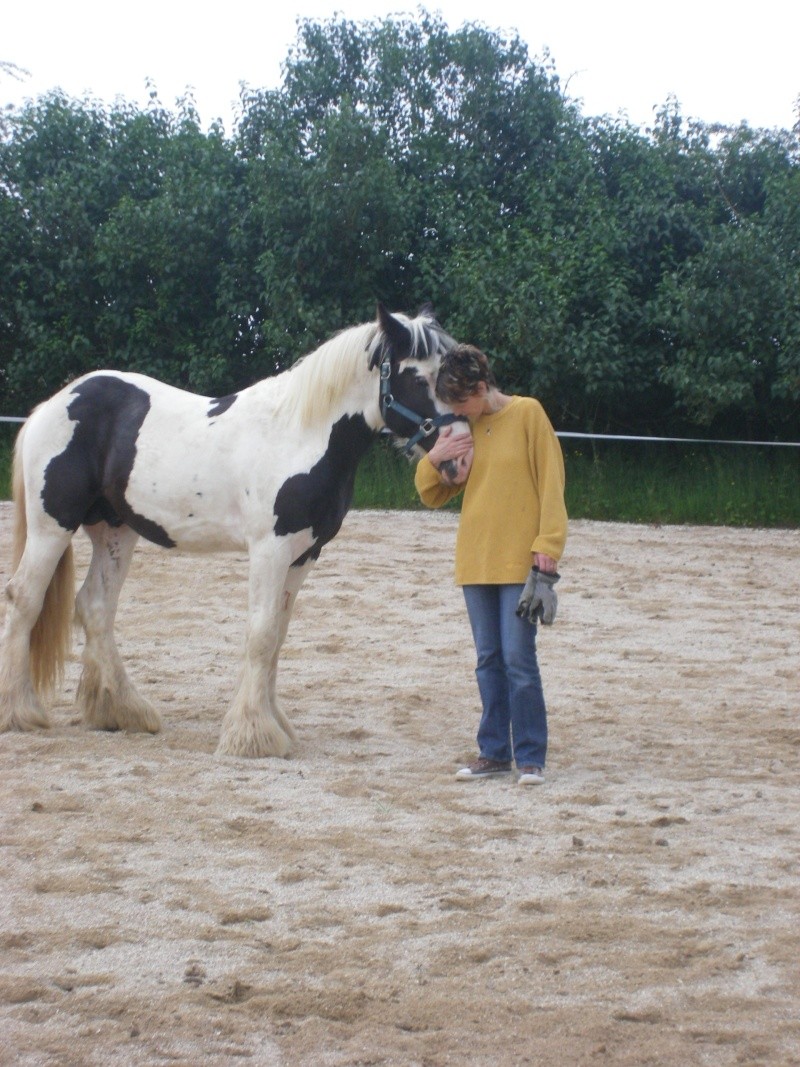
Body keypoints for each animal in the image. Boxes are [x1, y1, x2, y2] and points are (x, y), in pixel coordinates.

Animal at [0, 305, 469, 759]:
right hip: (52, 525)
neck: (301, 435)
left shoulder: (304, 554)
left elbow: (277, 636)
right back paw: (20, 711)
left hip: (115, 531)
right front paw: (252, 735)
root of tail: (53, 404)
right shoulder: (270, 549)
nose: (461, 459)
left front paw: (274, 725)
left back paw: (122, 711)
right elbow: (260, 634)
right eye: (419, 378)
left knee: (96, 606)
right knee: (25, 599)